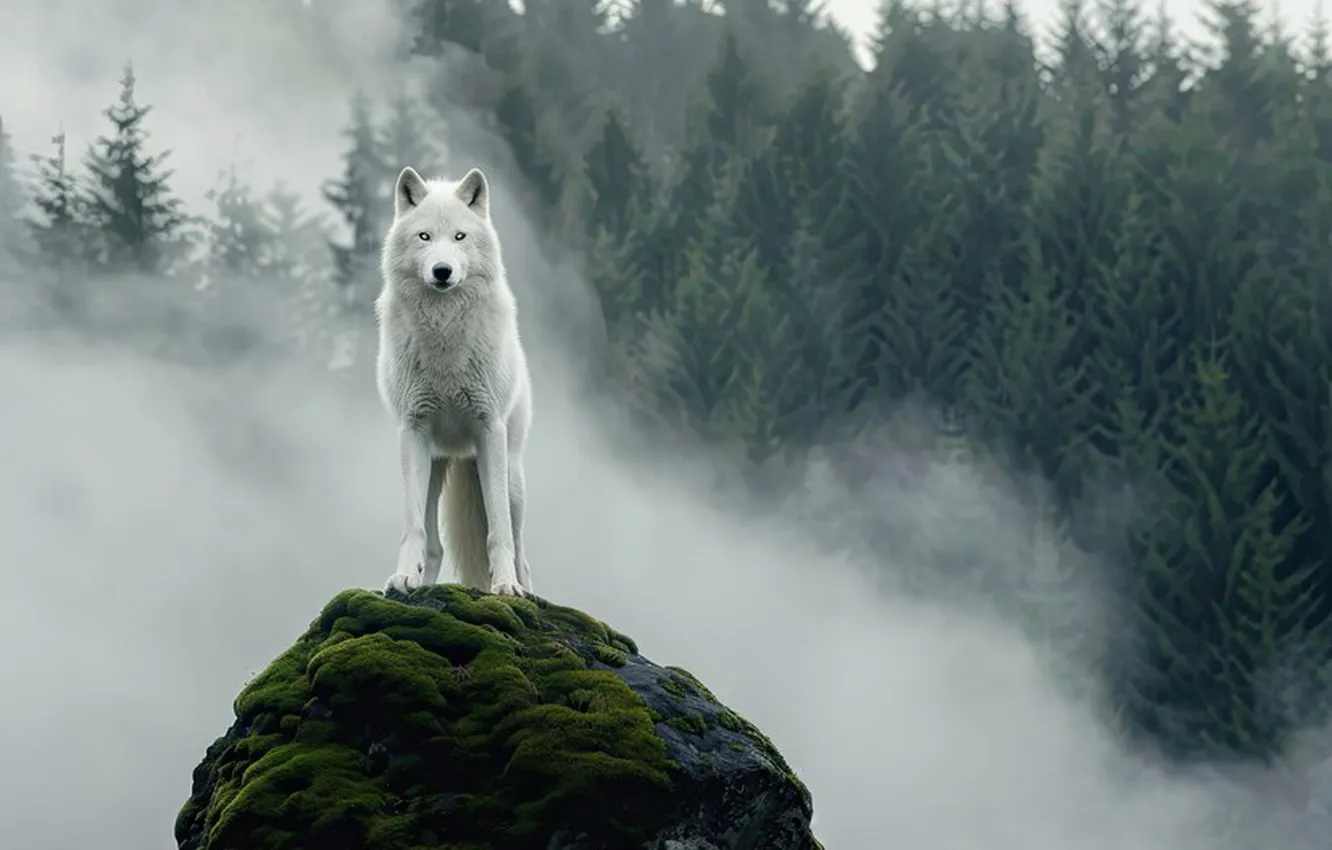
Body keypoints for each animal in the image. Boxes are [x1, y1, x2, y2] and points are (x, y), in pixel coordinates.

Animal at [374, 165, 535, 598]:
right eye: (424, 237)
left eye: (460, 237)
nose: (442, 271)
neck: (444, 332)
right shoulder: (412, 432)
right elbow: (413, 529)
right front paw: (402, 578)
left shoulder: (489, 430)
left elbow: (497, 534)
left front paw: (505, 587)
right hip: (434, 465)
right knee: (435, 546)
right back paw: (420, 582)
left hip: (511, 477)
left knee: (521, 549)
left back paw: (526, 589)